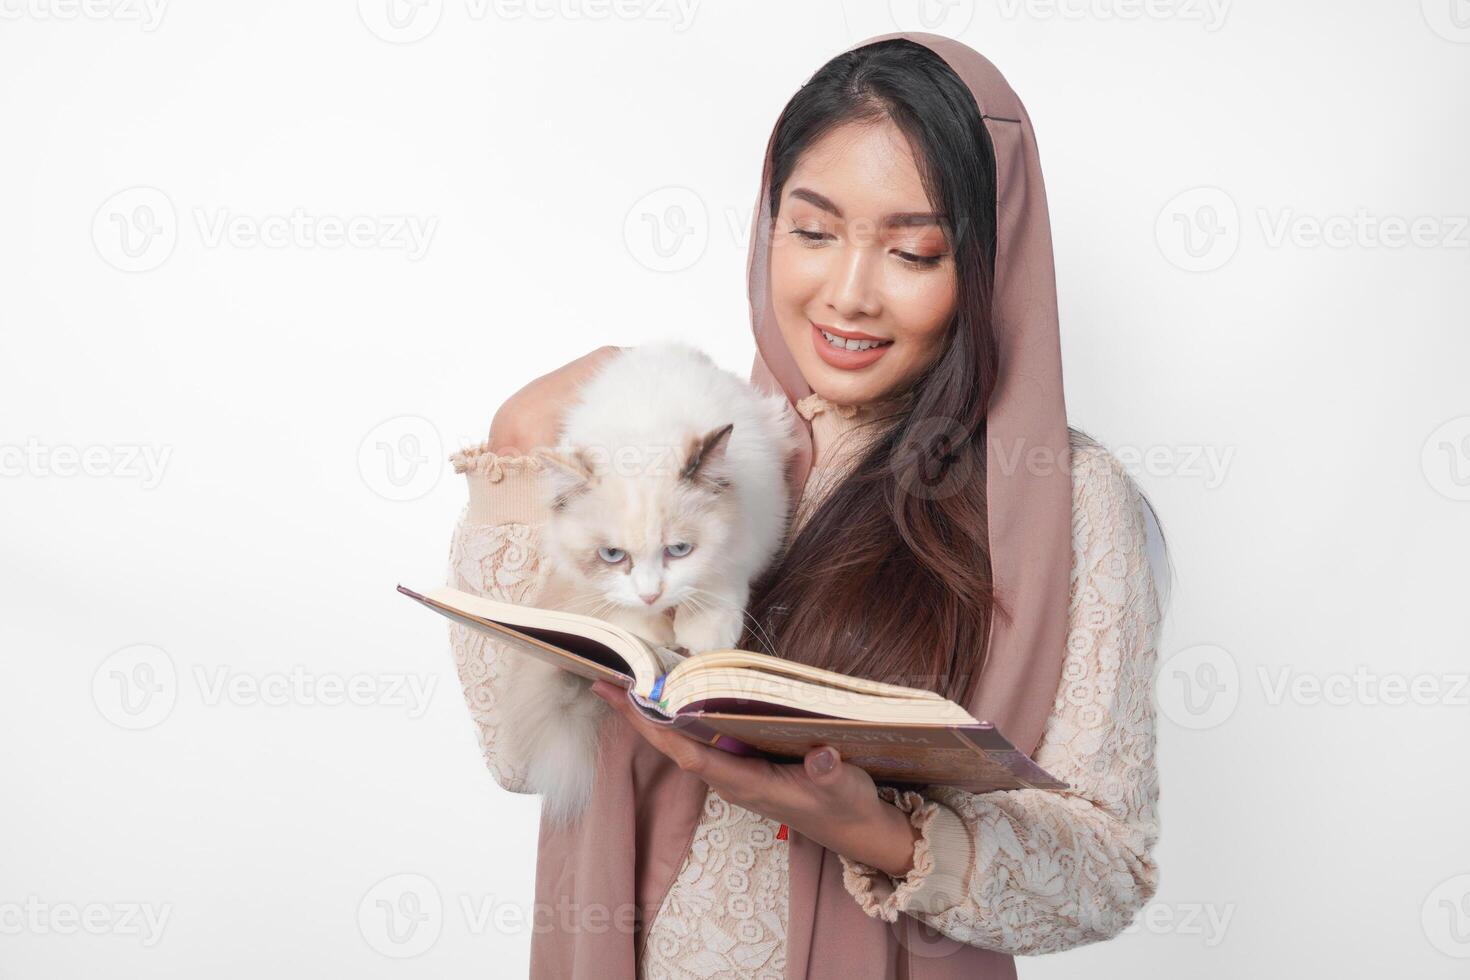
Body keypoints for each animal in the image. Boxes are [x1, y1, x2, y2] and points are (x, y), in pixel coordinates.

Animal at [505, 340, 805, 822]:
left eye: (678, 550)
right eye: (612, 556)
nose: (651, 594)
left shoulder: (754, 530)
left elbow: (716, 584)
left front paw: (700, 639)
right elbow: (625, 615)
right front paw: (651, 636)